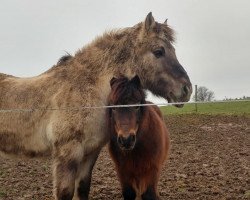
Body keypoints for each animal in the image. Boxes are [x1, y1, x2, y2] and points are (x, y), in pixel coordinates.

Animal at [0, 12, 191, 200]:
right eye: (159, 51)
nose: (186, 89)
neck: (86, 89)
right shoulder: (67, 154)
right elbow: (65, 193)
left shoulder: (90, 153)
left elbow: (83, 189)